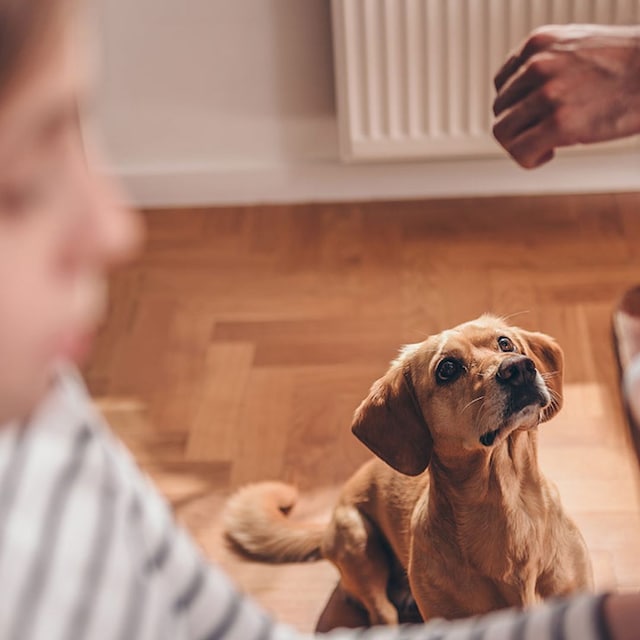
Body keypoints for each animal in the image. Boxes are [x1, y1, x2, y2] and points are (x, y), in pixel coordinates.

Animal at [222, 316, 592, 624]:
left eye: (505, 343)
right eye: (447, 368)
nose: (519, 368)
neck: (508, 502)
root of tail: (325, 526)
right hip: (356, 538)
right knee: (381, 613)